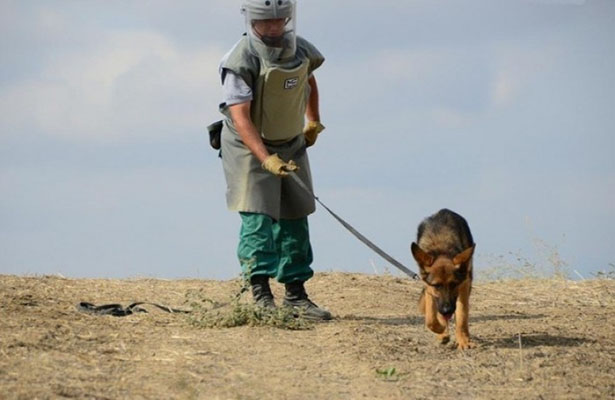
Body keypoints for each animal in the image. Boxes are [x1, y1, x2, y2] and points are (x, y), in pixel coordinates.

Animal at [414, 209, 476, 350]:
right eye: (436, 285)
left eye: (454, 284)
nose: (447, 310)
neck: (441, 249)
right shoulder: (429, 288)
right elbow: (431, 318)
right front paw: (441, 330)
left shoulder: (463, 284)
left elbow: (462, 314)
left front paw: (463, 340)